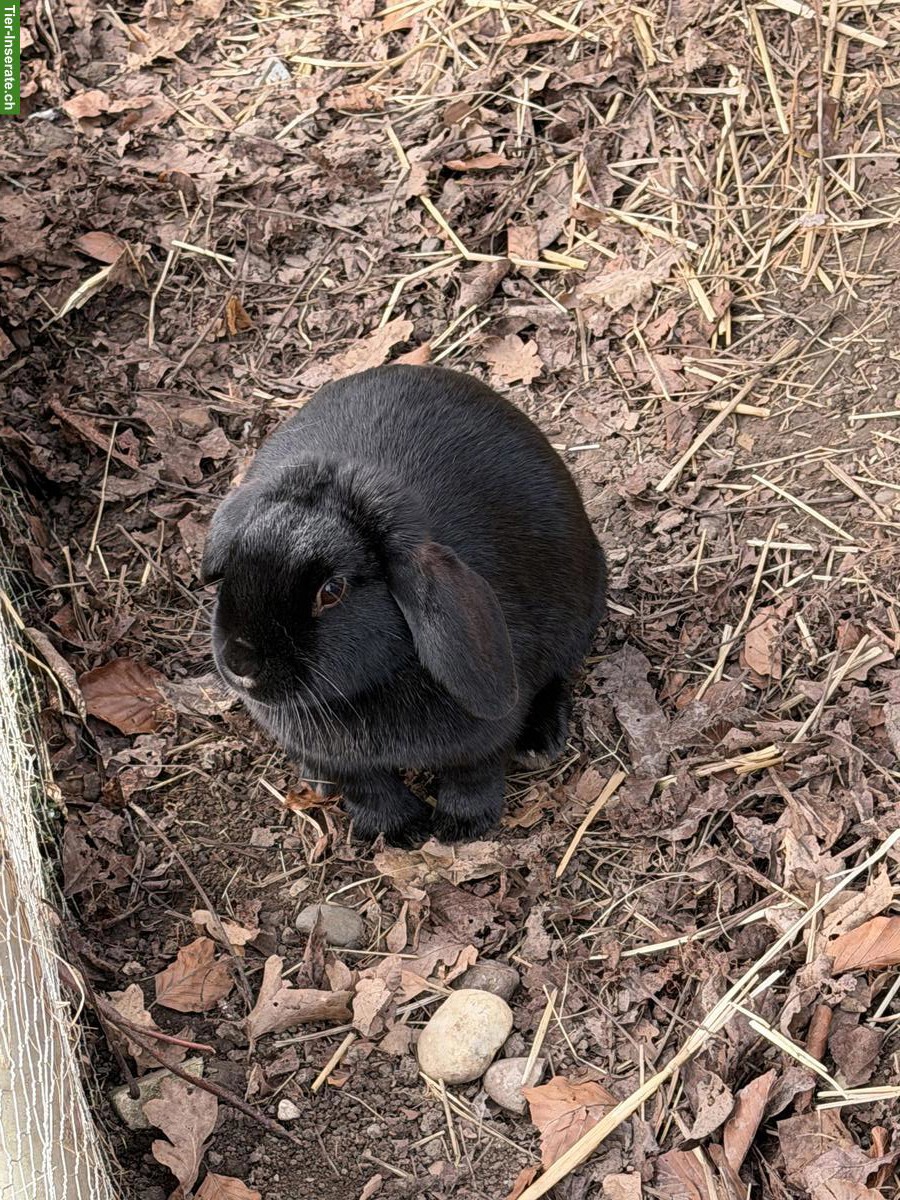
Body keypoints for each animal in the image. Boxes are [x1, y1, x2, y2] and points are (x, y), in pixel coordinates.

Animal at [202, 365, 605, 846]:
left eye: (332, 590)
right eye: (237, 558)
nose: (240, 663)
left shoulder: (484, 739)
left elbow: (474, 772)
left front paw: (460, 827)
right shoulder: (345, 762)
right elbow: (368, 786)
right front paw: (399, 830)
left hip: (579, 613)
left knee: (560, 674)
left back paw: (540, 742)